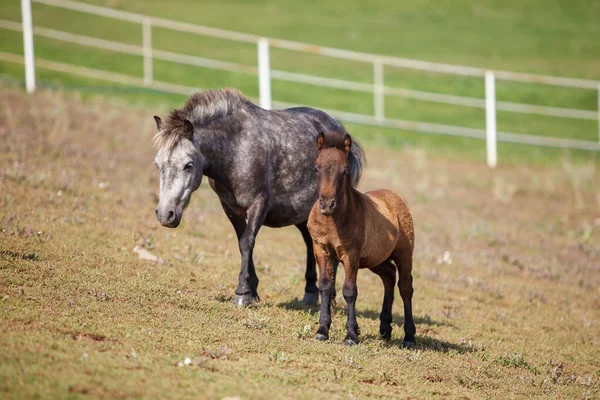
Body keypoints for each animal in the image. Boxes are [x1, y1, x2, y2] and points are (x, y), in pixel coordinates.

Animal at [152, 88, 364, 306]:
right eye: (157, 164)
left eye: (188, 165)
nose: (165, 214)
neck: (236, 149)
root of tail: (339, 129)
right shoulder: (230, 208)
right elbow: (242, 243)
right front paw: (252, 291)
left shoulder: (259, 204)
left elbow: (247, 242)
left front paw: (242, 294)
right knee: (310, 243)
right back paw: (311, 293)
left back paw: (330, 299)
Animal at [308, 131, 414, 346]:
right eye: (316, 168)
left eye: (345, 171)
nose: (327, 204)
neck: (333, 221)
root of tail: (395, 197)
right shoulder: (321, 249)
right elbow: (325, 286)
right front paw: (322, 330)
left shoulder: (351, 255)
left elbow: (349, 291)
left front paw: (351, 335)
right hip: (375, 259)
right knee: (389, 275)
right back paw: (385, 327)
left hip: (404, 254)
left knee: (405, 286)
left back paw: (409, 337)